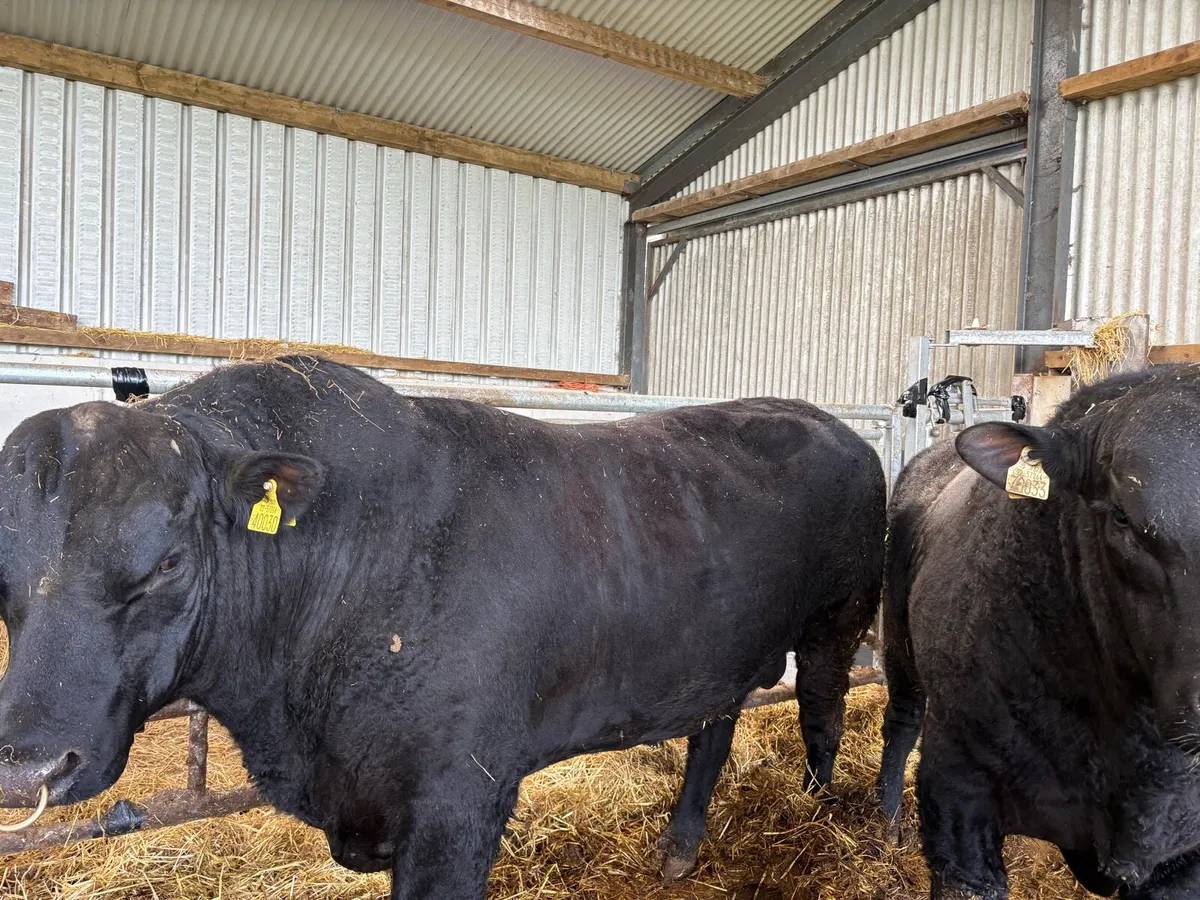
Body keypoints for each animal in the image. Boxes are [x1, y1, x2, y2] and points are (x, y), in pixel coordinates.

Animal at [0, 356, 884, 899]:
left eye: (169, 562)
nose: (29, 767)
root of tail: (826, 421)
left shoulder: (459, 801)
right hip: (713, 652)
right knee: (715, 725)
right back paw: (680, 845)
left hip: (838, 625)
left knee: (824, 711)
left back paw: (816, 810)